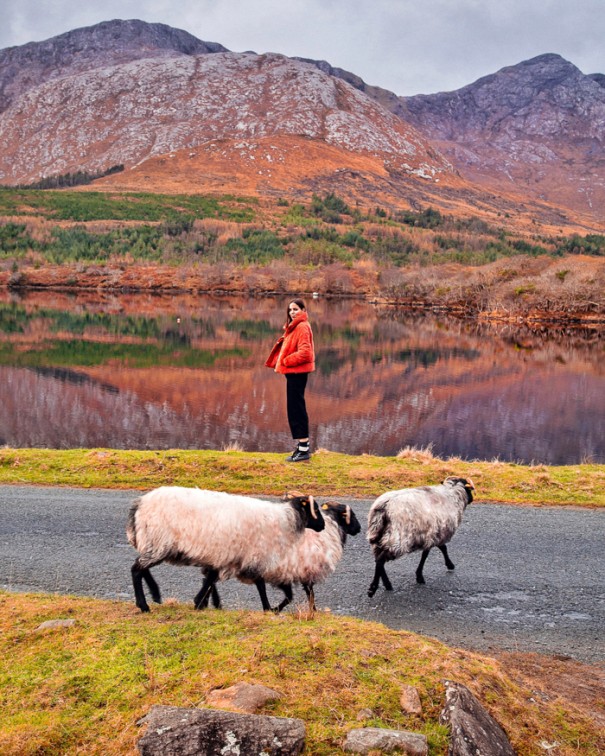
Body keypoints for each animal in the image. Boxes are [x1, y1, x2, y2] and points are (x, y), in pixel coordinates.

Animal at [125, 484, 324, 616]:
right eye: (315, 508)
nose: (322, 526)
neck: (286, 520)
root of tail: (140, 503)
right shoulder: (251, 554)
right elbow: (259, 584)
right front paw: (268, 608)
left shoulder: (227, 555)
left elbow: (210, 579)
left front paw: (201, 603)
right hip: (158, 541)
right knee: (136, 569)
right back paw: (144, 605)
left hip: (155, 543)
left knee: (142, 568)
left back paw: (155, 594)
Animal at [203, 496, 360, 616]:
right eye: (351, 515)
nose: (359, 529)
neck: (331, 531)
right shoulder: (300, 571)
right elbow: (304, 595)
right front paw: (280, 610)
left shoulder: (294, 572)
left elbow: (300, 595)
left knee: (210, 578)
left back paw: (213, 603)